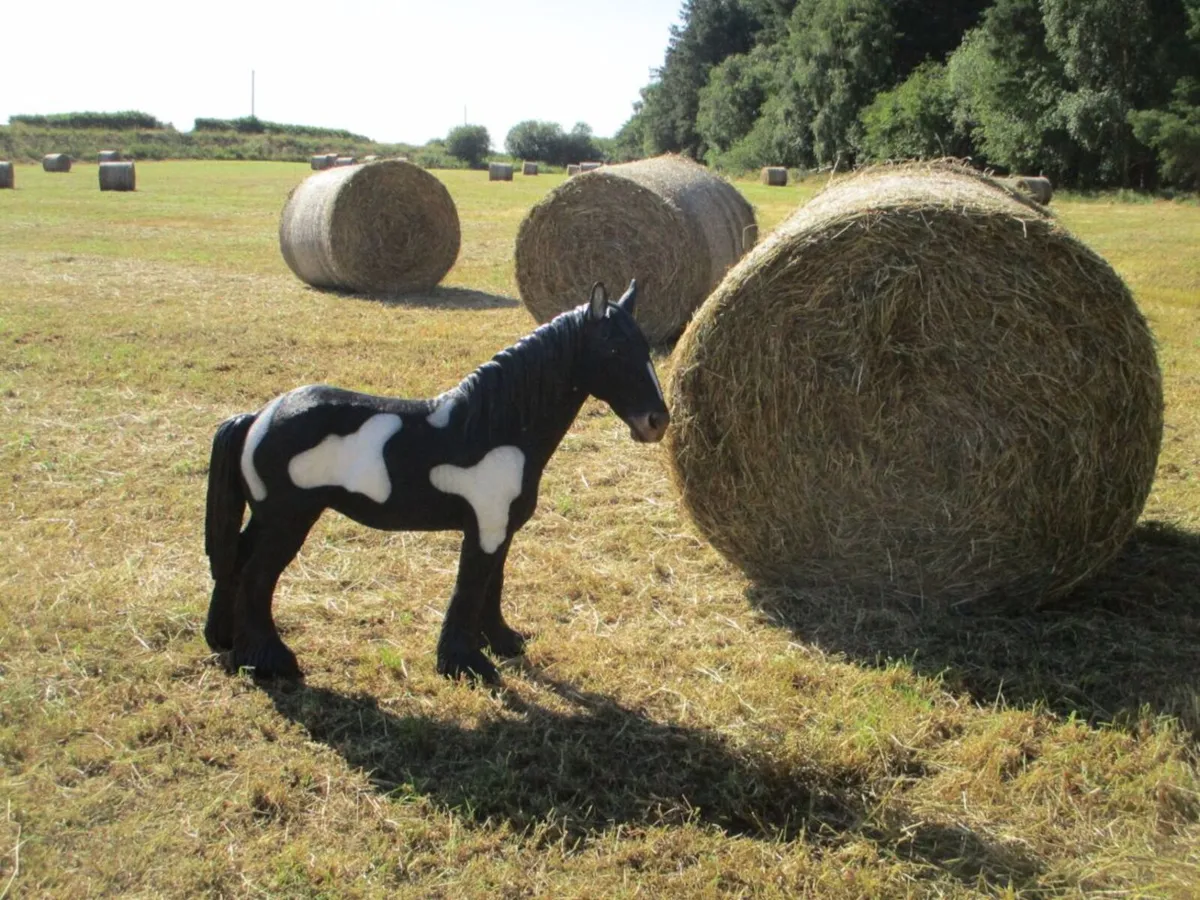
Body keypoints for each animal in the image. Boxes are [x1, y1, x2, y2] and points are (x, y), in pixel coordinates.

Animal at [203, 279, 669, 683]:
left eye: (646, 348)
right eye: (614, 348)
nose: (656, 422)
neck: (492, 428)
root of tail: (258, 417)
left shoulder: (499, 529)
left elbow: (493, 584)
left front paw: (502, 641)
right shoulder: (484, 527)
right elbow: (470, 588)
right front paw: (465, 665)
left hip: (266, 518)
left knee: (235, 562)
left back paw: (226, 642)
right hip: (288, 521)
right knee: (256, 577)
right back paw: (271, 661)